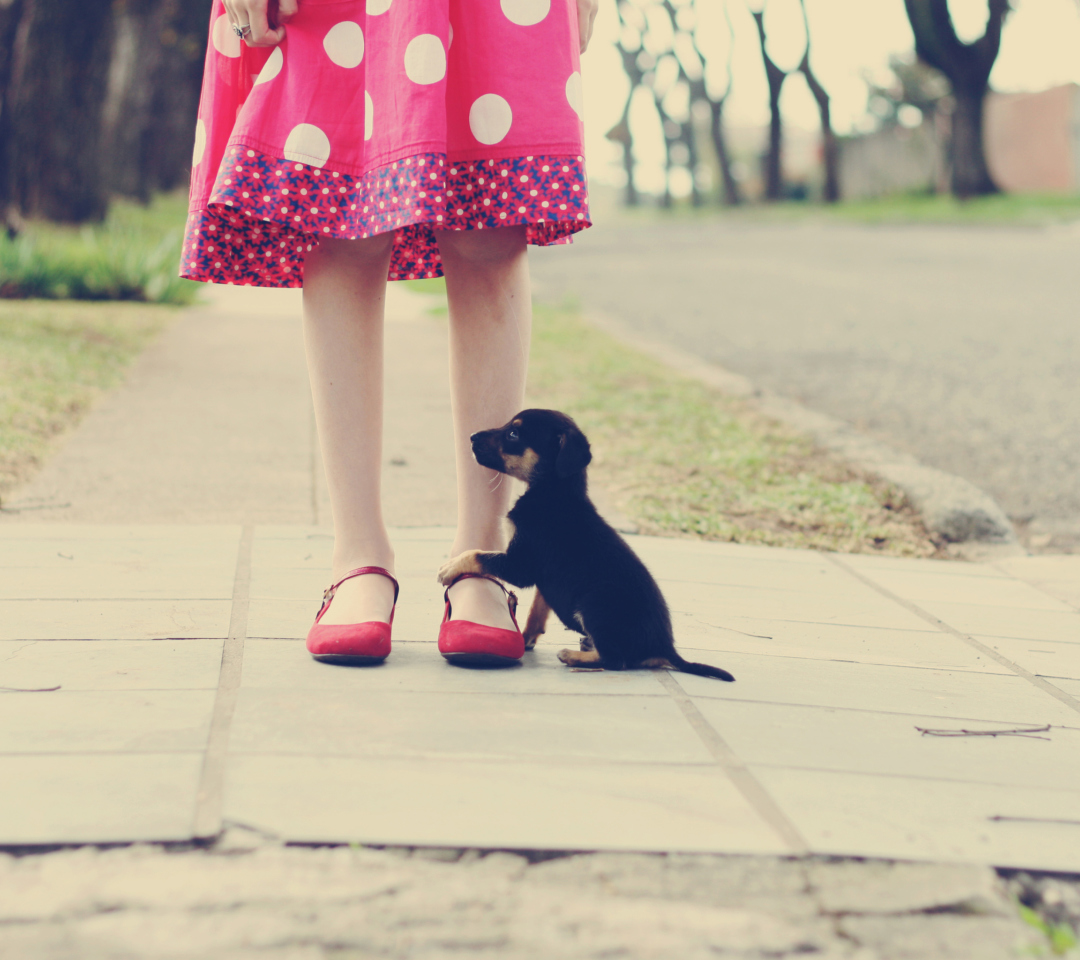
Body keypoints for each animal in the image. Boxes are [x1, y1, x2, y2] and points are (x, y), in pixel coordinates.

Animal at [436, 406, 734, 682]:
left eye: (513, 434)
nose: (471, 437)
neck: (554, 493)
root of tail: (665, 648)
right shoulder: (544, 575)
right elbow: (538, 608)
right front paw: (526, 637)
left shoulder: (521, 564)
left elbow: (478, 555)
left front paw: (450, 567)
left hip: (595, 602)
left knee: (616, 660)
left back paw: (573, 656)